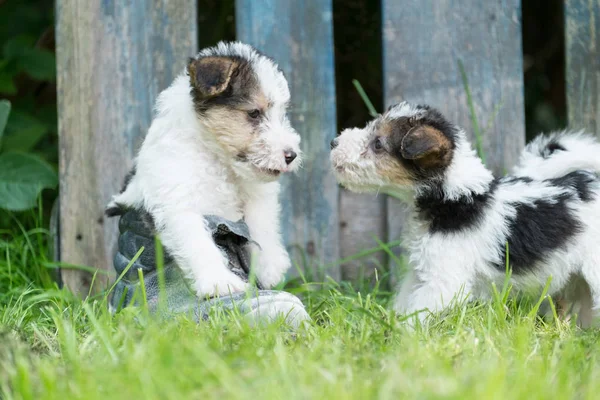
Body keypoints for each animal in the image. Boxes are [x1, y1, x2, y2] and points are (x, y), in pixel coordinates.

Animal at [106, 42, 302, 298]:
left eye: (282, 113)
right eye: (254, 113)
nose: (291, 155)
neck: (216, 158)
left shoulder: (256, 194)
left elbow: (262, 224)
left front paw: (270, 266)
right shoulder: (178, 203)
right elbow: (198, 242)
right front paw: (219, 282)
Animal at [330, 101, 600, 326]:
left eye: (378, 144)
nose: (334, 142)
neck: (455, 200)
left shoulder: (443, 283)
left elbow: (415, 315)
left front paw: (401, 338)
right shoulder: (421, 272)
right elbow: (404, 304)